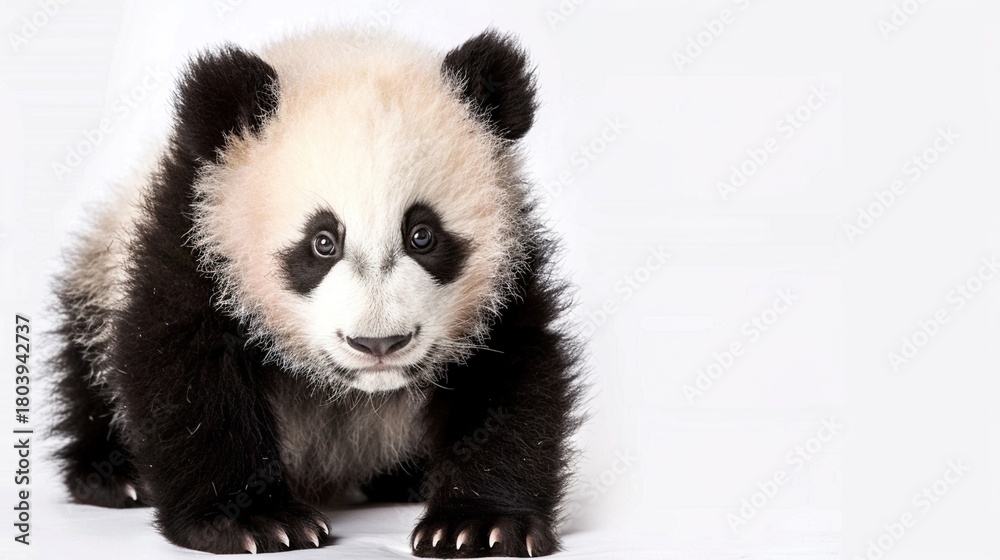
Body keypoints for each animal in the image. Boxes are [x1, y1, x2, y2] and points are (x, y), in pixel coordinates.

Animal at [50, 28, 581, 557]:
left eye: (423, 235)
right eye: (322, 242)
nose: (378, 344)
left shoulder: (507, 271)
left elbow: (509, 374)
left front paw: (478, 524)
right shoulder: (198, 228)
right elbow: (182, 364)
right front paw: (254, 521)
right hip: (98, 276)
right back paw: (115, 476)